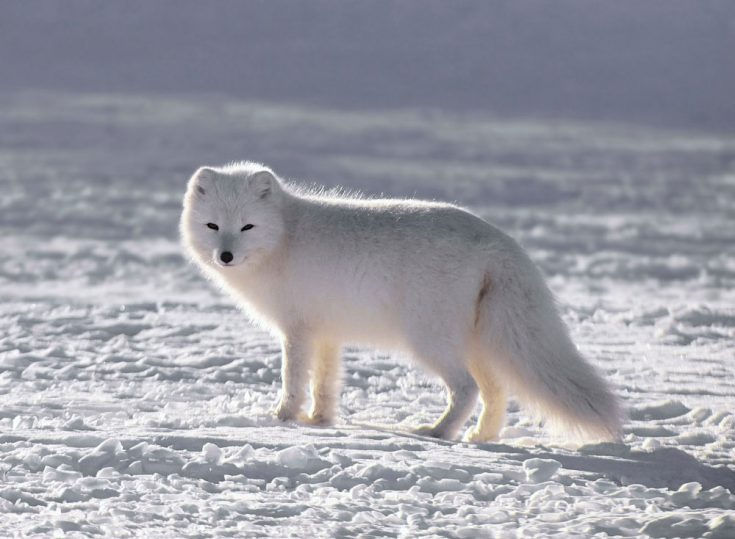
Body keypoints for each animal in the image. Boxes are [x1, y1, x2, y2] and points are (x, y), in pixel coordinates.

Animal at [180, 162, 620, 446]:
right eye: (213, 226)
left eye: (247, 227)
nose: (225, 256)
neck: (285, 237)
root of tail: (501, 242)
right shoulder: (326, 333)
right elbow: (325, 383)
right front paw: (320, 421)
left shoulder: (298, 331)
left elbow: (293, 380)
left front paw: (282, 419)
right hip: (476, 344)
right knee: (495, 392)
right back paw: (481, 436)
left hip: (429, 341)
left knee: (466, 389)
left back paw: (439, 433)